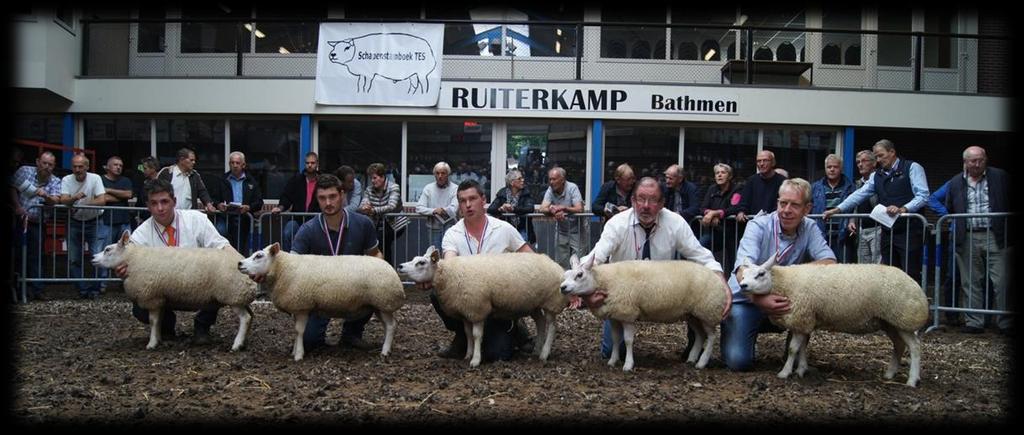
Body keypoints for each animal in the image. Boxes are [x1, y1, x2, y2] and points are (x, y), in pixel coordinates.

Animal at [91, 230, 258, 350]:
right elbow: (158, 321)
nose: (92, 258)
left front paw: (151, 344)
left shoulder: (151, 297)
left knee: (245, 318)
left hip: (234, 295)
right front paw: (158, 338)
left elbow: (153, 321)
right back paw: (244, 342)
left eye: (107, 249)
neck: (133, 259)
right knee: (251, 316)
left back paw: (236, 344)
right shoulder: (159, 299)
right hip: (241, 297)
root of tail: (245, 265)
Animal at [235, 242, 403, 360]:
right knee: (390, 325)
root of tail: (391, 268)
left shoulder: (302, 306)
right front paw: (295, 351)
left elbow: (299, 331)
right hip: (378, 305)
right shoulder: (297, 306)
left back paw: (385, 352)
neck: (284, 269)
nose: (240, 263)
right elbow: (296, 330)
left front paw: (298, 355)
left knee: (391, 325)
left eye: (259, 256)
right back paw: (386, 348)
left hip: (384, 301)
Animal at [395, 245, 569, 364]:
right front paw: (468, 354)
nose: (400, 266)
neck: (449, 274)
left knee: (552, 327)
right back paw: (536, 350)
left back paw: (544, 353)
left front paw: (476, 360)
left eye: (421, 263)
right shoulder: (465, 311)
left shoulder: (477, 308)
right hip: (534, 304)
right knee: (540, 323)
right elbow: (467, 334)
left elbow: (477, 335)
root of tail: (557, 265)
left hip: (552, 301)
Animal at [561, 253, 729, 370]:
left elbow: (628, 340)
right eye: (566, 275)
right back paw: (692, 359)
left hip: (708, 311)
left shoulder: (627, 313)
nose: (563, 287)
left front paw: (628, 364)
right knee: (700, 335)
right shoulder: (614, 315)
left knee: (711, 336)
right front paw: (613, 360)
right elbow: (615, 339)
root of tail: (718, 278)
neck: (604, 280)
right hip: (693, 314)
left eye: (580, 275)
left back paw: (702, 362)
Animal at [737, 255, 929, 384]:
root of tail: (917, 286)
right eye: (744, 274)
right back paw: (890, 374)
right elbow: (802, 348)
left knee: (915, 347)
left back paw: (912, 380)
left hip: (904, 317)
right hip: (890, 321)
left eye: (761, 274)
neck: (784, 283)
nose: (742, 285)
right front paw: (801, 369)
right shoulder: (805, 319)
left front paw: (785, 373)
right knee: (899, 345)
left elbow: (793, 349)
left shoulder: (800, 317)